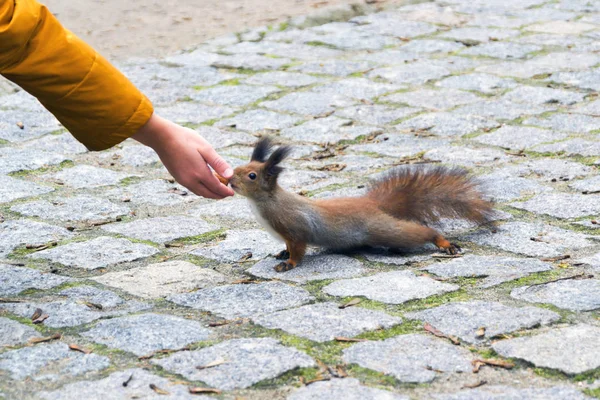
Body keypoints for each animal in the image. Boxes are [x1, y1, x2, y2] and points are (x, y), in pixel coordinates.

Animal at [216, 137, 492, 272]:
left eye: (252, 175)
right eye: (240, 167)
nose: (230, 180)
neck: (265, 203)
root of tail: (371, 204)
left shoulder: (295, 227)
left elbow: (298, 248)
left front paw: (289, 263)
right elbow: (286, 246)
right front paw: (282, 253)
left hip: (383, 229)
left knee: (417, 232)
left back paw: (442, 242)